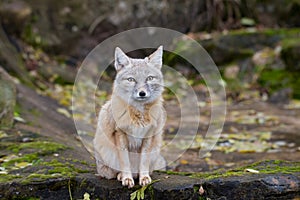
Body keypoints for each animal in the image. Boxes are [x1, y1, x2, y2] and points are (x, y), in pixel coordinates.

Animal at [93, 45, 166, 188]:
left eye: (149, 78)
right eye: (131, 80)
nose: (142, 93)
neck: (139, 114)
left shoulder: (148, 136)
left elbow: (143, 161)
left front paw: (144, 178)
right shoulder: (120, 134)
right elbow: (124, 161)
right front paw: (127, 178)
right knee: (114, 171)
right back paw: (122, 176)